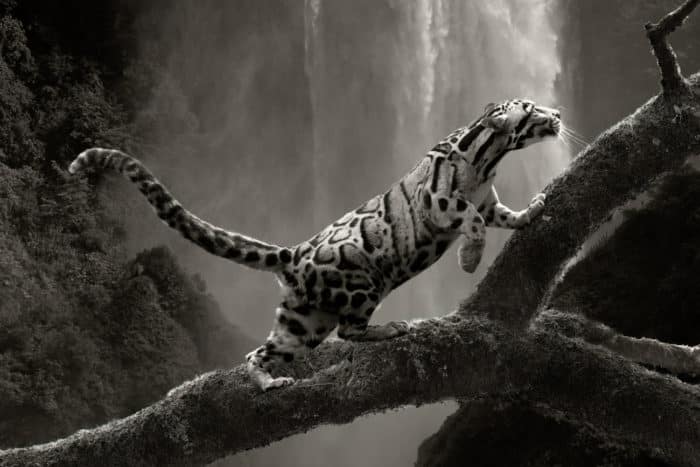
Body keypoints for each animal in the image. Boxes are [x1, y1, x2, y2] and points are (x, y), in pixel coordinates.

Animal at [69, 99, 561, 391]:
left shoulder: (488, 201)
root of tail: (295, 254)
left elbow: (503, 216)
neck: (488, 159)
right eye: (530, 108)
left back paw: (268, 383)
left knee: (259, 352)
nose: (556, 113)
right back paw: (391, 328)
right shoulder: (440, 202)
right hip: (360, 288)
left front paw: (533, 209)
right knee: (351, 330)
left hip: (303, 320)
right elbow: (474, 223)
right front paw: (469, 261)